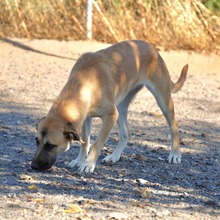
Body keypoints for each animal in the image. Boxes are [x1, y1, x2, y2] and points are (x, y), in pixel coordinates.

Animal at [31, 40, 187, 173]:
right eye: (37, 141)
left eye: (51, 145)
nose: (33, 166)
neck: (84, 82)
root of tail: (152, 47)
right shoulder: (86, 118)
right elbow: (85, 142)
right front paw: (80, 160)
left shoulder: (111, 116)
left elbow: (96, 143)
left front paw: (88, 164)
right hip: (121, 106)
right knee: (125, 134)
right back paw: (114, 157)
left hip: (162, 99)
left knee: (174, 125)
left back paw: (175, 154)